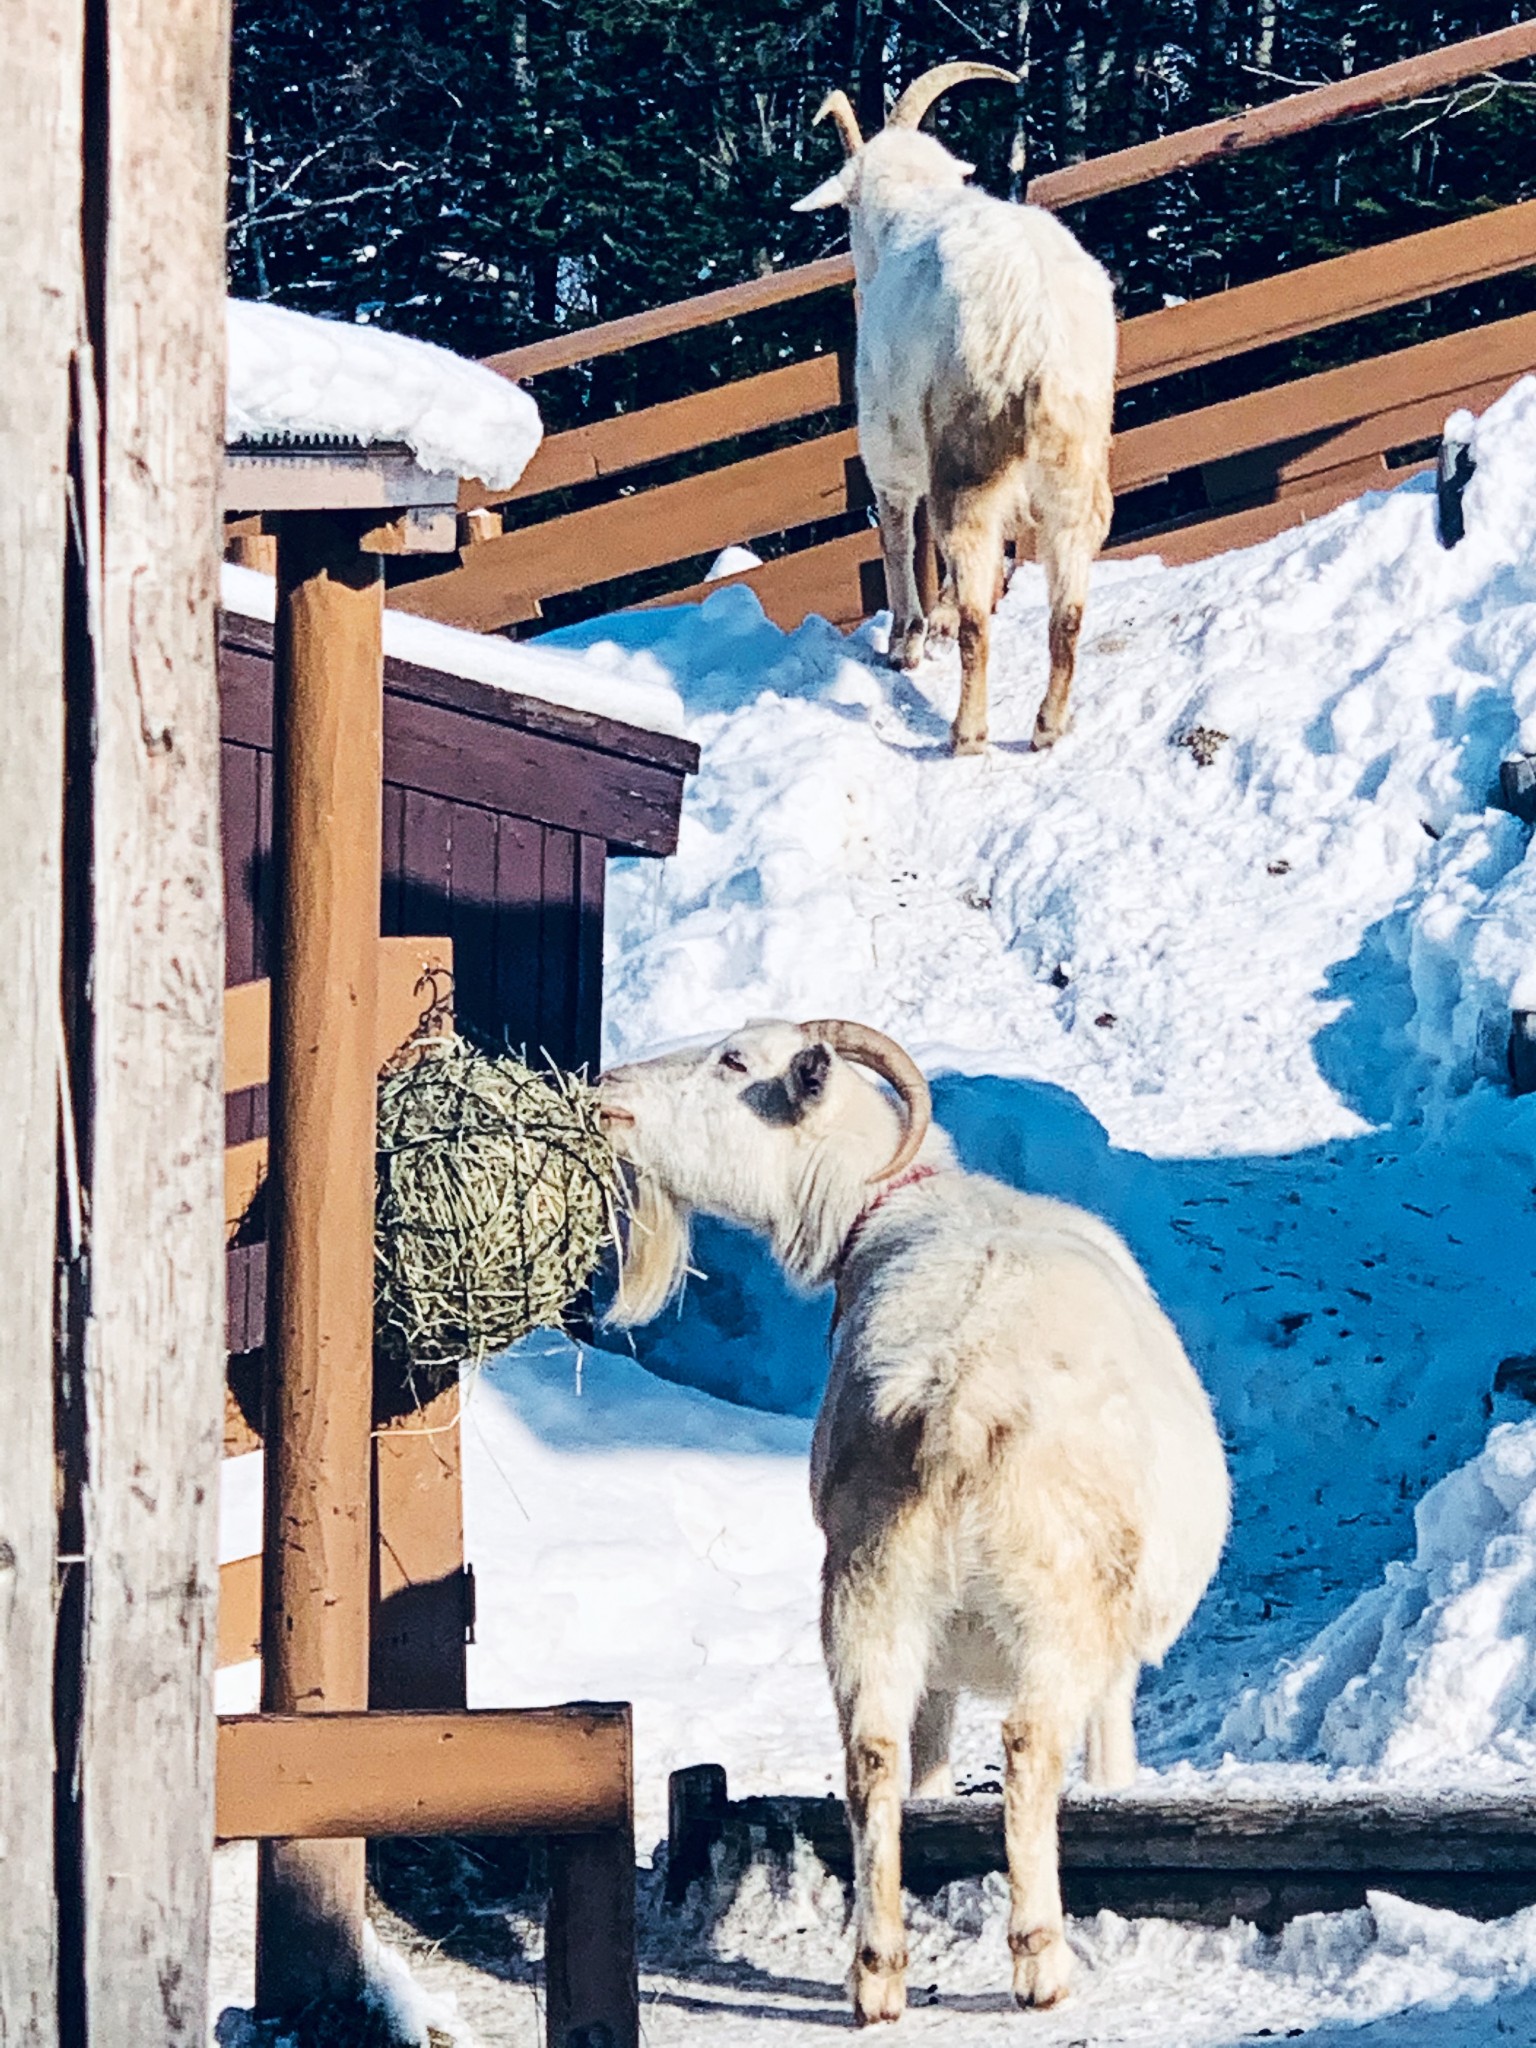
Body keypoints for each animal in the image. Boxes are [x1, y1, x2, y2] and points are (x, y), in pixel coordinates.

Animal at [598, 1024, 1228, 2015]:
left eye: (735, 1062)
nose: (607, 1092)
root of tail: (955, 1402)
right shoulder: (1113, 1660)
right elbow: (1107, 1757)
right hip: (1052, 1608)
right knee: (1026, 1749)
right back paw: (1040, 1961)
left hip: (869, 1589)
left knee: (873, 1756)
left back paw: (878, 1970)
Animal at [794, 72, 1122, 765]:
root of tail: (1038, 329)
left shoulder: (889, 444)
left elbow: (897, 535)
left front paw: (906, 640)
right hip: (1076, 447)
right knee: (1068, 599)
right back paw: (1049, 724)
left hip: (967, 447)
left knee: (973, 585)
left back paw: (967, 732)